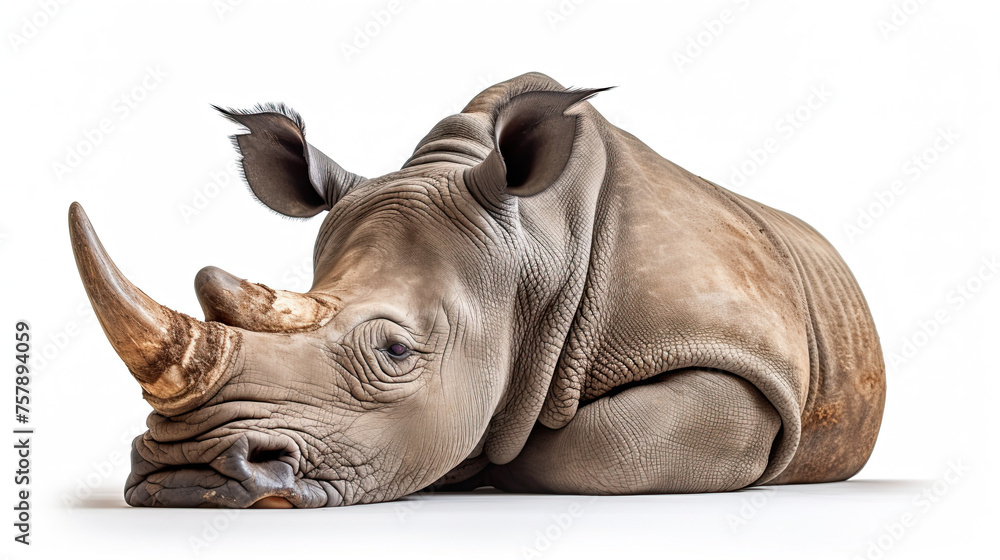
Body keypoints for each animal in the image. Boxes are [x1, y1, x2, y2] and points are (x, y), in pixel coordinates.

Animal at [69, 72, 885, 508]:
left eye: (396, 352)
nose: (188, 474)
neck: (535, 253)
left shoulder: (734, 357)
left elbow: (598, 447)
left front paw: (494, 463)